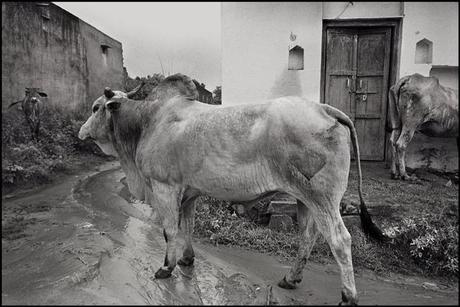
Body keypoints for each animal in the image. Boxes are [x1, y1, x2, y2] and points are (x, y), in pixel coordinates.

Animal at [78, 73, 384, 306]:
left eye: (95, 108)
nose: (81, 131)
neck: (147, 122)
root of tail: (325, 108)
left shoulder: (165, 188)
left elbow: (170, 231)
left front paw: (166, 267)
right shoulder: (188, 193)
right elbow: (187, 227)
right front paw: (187, 259)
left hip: (323, 199)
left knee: (340, 240)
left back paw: (348, 296)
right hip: (305, 199)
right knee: (308, 237)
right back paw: (291, 279)